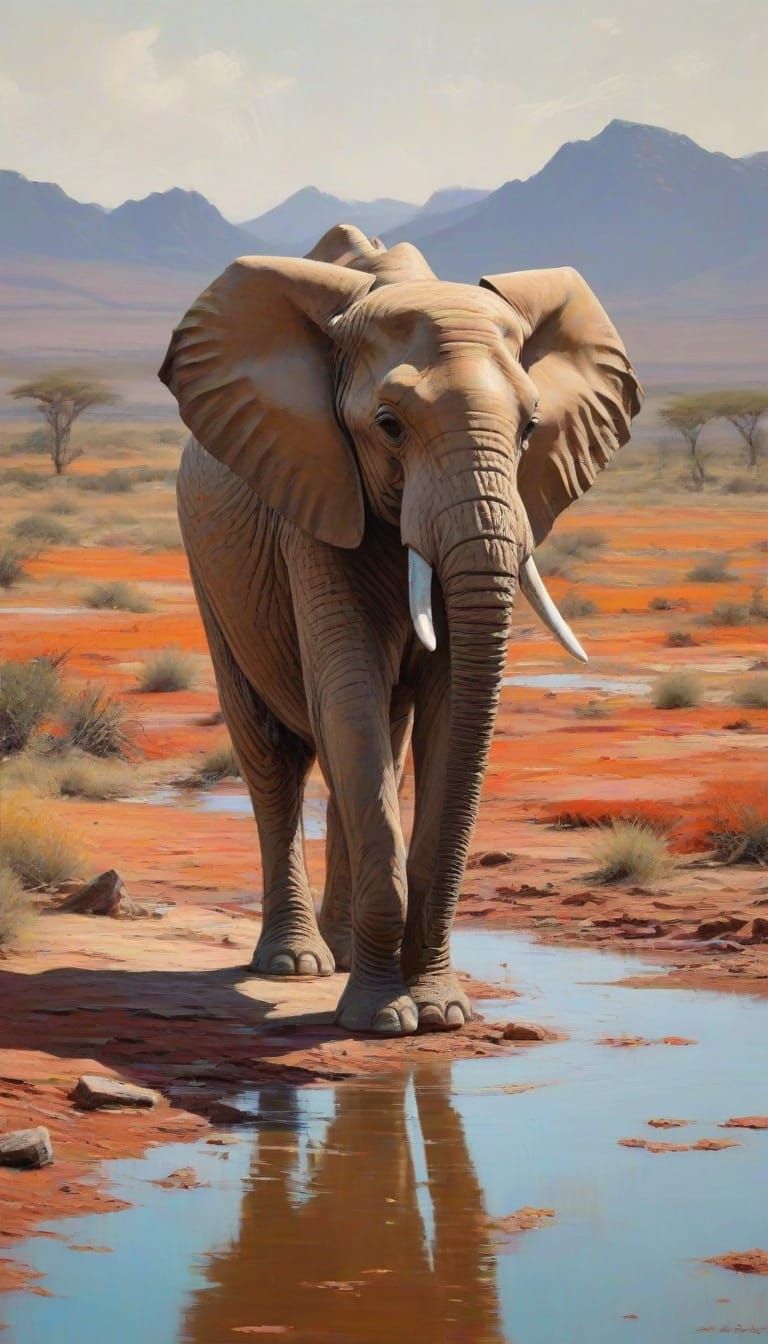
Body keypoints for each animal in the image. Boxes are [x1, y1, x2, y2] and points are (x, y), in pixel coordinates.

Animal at [159, 223, 642, 1036]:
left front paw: (441, 1009)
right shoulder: (313, 489)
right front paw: (385, 1020)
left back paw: (341, 954)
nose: (438, 1005)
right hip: (208, 566)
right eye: (388, 427)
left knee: (373, 743)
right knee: (276, 753)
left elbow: (443, 710)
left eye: (530, 428)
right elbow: (347, 691)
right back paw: (296, 963)